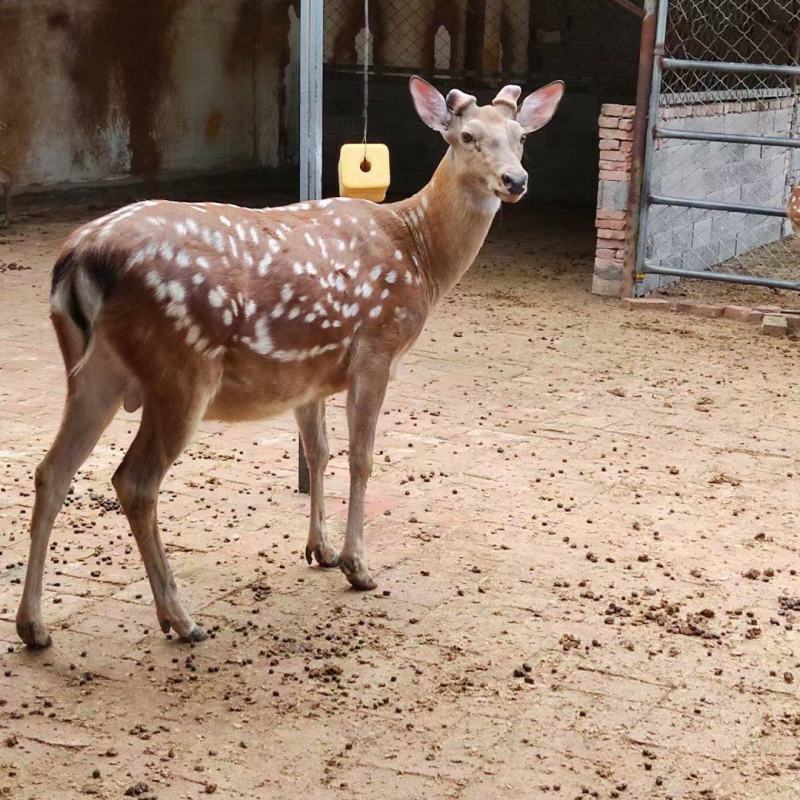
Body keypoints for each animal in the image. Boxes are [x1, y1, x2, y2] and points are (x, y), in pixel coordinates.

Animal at [15, 76, 564, 648]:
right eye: (467, 136)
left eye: (521, 136)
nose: (516, 180)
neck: (419, 254)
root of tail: (80, 257)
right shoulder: (376, 347)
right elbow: (362, 457)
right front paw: (357, 566)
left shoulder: (312, 372)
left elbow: (319, 452)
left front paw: (320, 550)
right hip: (180, 367)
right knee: (134, 482)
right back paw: (181, 619)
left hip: (92, 372)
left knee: (52, 470)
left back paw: (35, 626)